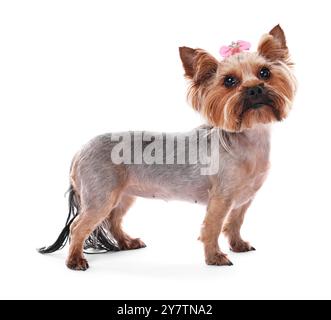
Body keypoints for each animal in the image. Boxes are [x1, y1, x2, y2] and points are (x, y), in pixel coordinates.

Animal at [39, 25, 298, 270]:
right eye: (229, 81)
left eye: (265, 73)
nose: (255, 88)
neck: (249, 137)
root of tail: (79, 151)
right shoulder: (221, 198)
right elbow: (212, 227)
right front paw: (215, 257)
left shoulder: (244, 199)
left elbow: (235, 222)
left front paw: (238, 245)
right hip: (100, 194)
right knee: (78, 227)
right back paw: (75, 260)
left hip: (123, 195)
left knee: (113, 221)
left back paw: (127, 242)